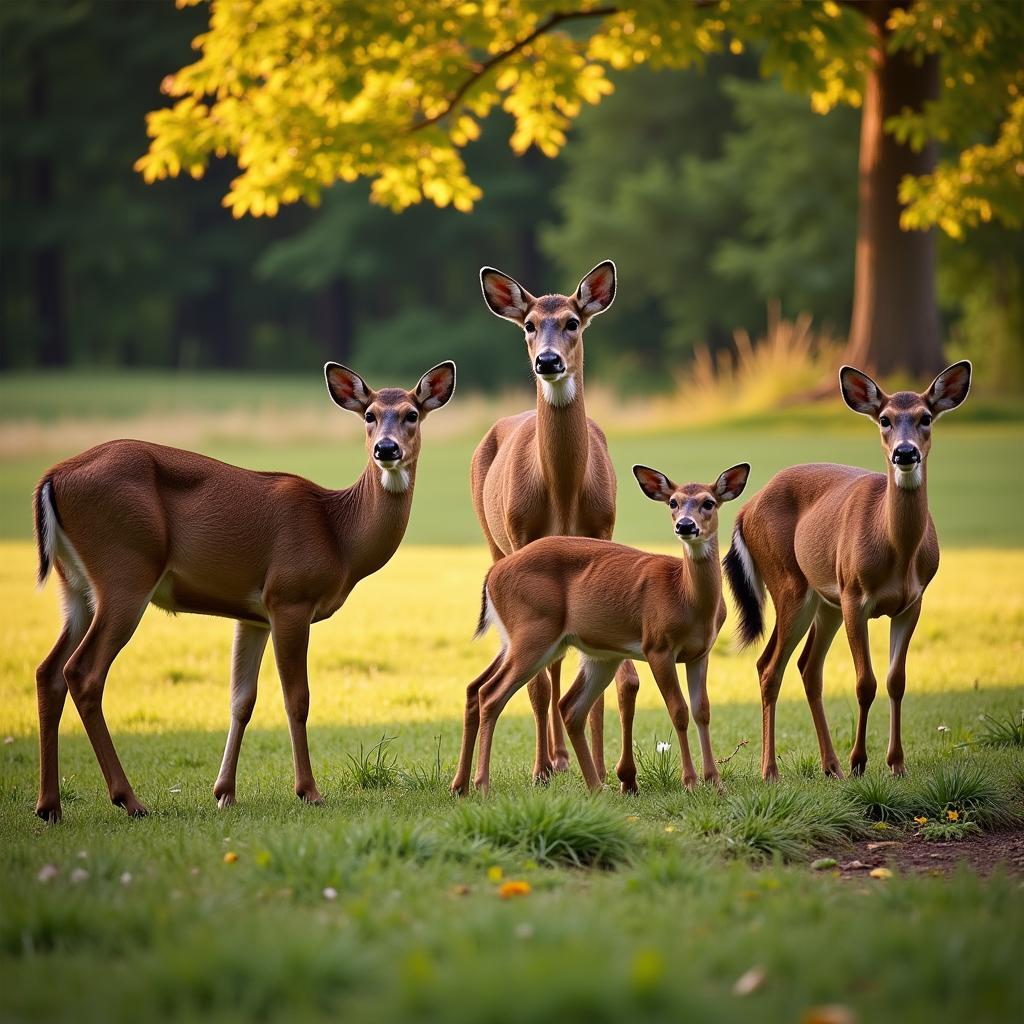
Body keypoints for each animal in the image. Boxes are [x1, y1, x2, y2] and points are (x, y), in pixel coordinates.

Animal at [32, 362, 456, 823]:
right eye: (369, 415)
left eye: (412, 414)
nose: (386, 448)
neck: (338, 535)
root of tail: (52, 478)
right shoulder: (289, 596)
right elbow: (297, 699)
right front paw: (309, 791)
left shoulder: (252, 614)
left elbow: (241, 699)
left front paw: (224, 792)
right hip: (125, 570)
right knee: (83, 672)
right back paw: (128, 799)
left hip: (75, 586)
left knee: (48, 671)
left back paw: (48, 806)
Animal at [450, 460, 753, 794]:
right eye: (673, 503)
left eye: (708, 503)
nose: (685, 526)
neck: (685, 595)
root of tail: (492, 574)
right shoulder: (657, 646)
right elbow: (679, 711)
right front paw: (690, 781)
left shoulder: (701, 652)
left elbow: (702, 711)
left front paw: (715, 782)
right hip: (533, 633)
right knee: (492, 695)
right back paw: (482, 784)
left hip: (575, 651)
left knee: (557, 704)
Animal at [468, 260, 643, 794]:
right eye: (528, 324)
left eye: (572, 322)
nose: (548, 361)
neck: (563, 491)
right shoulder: (524, 536)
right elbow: (542, 682)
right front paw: (541, 767)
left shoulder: (602, 532)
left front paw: (610, 770)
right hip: (495, 542)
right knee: (541, 672)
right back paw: (548, 762)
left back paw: (568, 759)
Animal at [724, 358, 970, 774]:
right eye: (885, 419)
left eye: (925, 417)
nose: (905, 453)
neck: (897, 553)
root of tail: (745, 509)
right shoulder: (856, 595)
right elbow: (865, 682)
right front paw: (860, 762)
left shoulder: (913, 601)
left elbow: (897, 680)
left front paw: (897, 764)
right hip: (789, 583)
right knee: (770, 666)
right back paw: (771, 771)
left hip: (826, 601)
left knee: (807, 667)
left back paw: (831, 766)